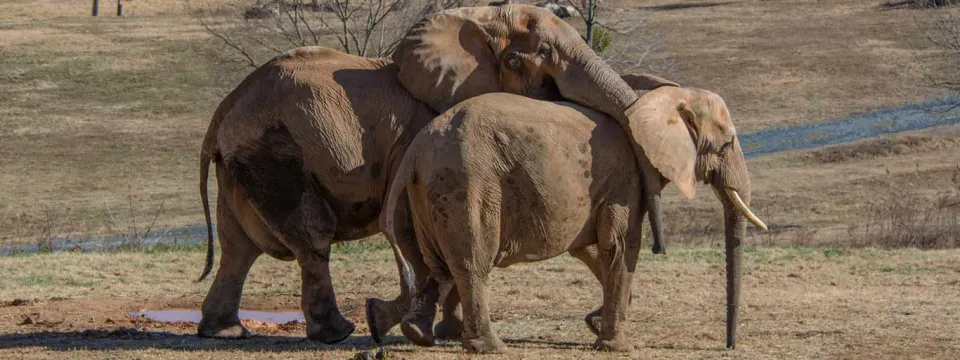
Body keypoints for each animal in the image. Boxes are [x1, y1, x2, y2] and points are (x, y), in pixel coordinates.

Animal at [199, 3, 664, 346]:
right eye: (524, 59)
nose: (659, 246)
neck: (476, 17)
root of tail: (223, 111)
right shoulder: (421, 133)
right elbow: (418, 232)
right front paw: (430, 329)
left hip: (246, 162)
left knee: (237, 245)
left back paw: (224, 332)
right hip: (277, 154)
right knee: (311, 238)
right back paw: (336, 333)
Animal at [378, 85, 768, 352]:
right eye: (727, 144)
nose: (729, 346)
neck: (660, 97)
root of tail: (416, 148)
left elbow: (588, 249)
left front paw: (596, 323)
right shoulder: (625, 179)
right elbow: (621, 246)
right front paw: (615, 347)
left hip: (428, 188)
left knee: (437, 264)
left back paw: (414, 332)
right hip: (467, 182)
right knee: (471, 262)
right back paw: (490, 347)